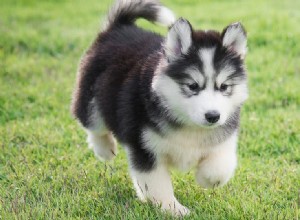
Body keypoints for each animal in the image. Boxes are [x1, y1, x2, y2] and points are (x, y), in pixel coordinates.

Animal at [71, 0, 248, 217]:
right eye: (192, 86)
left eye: (223, 87)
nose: (213, 116)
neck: (188, 126)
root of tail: (120, 27)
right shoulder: (145, 148)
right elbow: (157, 184)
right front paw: (172, 208)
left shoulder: (223, 137)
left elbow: (221, 167)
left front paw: (206, 179)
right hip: (90, 99)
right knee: (93, 125)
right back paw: (105, 149)